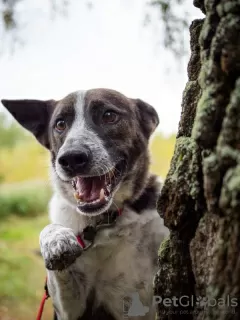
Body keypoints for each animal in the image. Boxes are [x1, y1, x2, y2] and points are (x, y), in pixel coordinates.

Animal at [1, 88, 169, 320]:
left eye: (109, 115)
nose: (71, 158)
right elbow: (49, 230)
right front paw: (56, 240)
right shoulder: (72, 310)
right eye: (60, 124)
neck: (106, 221)